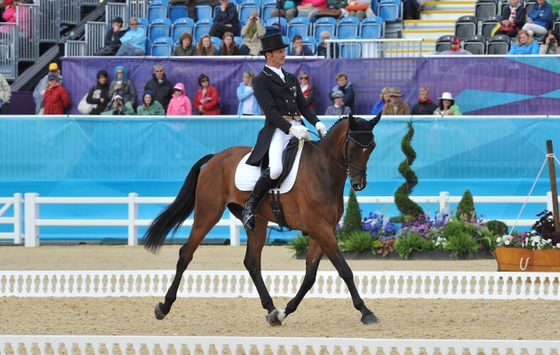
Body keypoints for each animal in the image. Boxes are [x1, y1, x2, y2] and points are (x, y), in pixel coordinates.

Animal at [142, 113, 382, 326]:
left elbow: (309, 277)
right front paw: (366, 312)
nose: (359, 184)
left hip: (257, 222)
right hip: (208, 214)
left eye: (371, 147)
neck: (323, 170)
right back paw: (164, 307)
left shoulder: (321, 230)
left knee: (252, 262)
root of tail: (216, 157)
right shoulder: (320, 228)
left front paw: (284, 312)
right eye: (353, 148)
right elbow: (344, 270)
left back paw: (271, 310)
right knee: (186, 253)